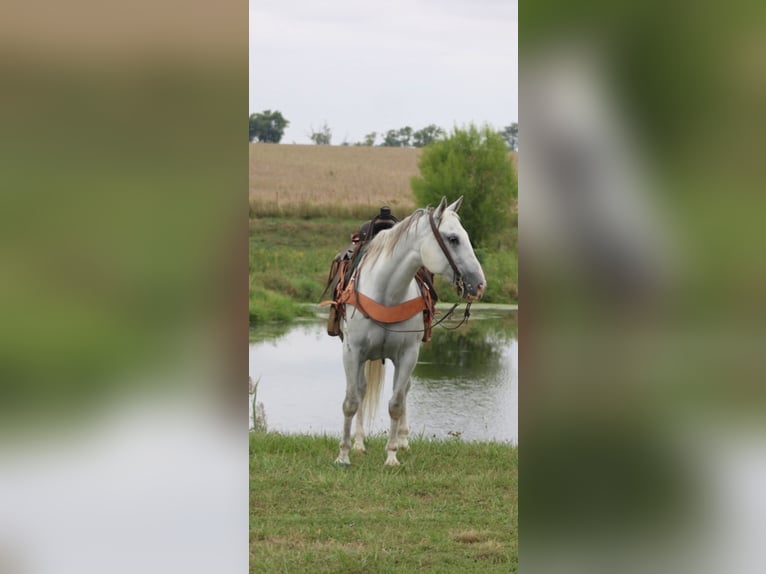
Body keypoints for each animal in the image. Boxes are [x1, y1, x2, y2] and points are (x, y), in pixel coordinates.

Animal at [335, 196, 486, 466]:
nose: (479, 285)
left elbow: (396, 403)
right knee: (361, 391)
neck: (386, 293)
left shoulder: (408, 354)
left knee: (403, 391)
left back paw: (403, 440)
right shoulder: (352, 352)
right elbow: (351, 401)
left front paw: (392, 456)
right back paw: (359, 443)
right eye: (453, 238)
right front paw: (343, 455)